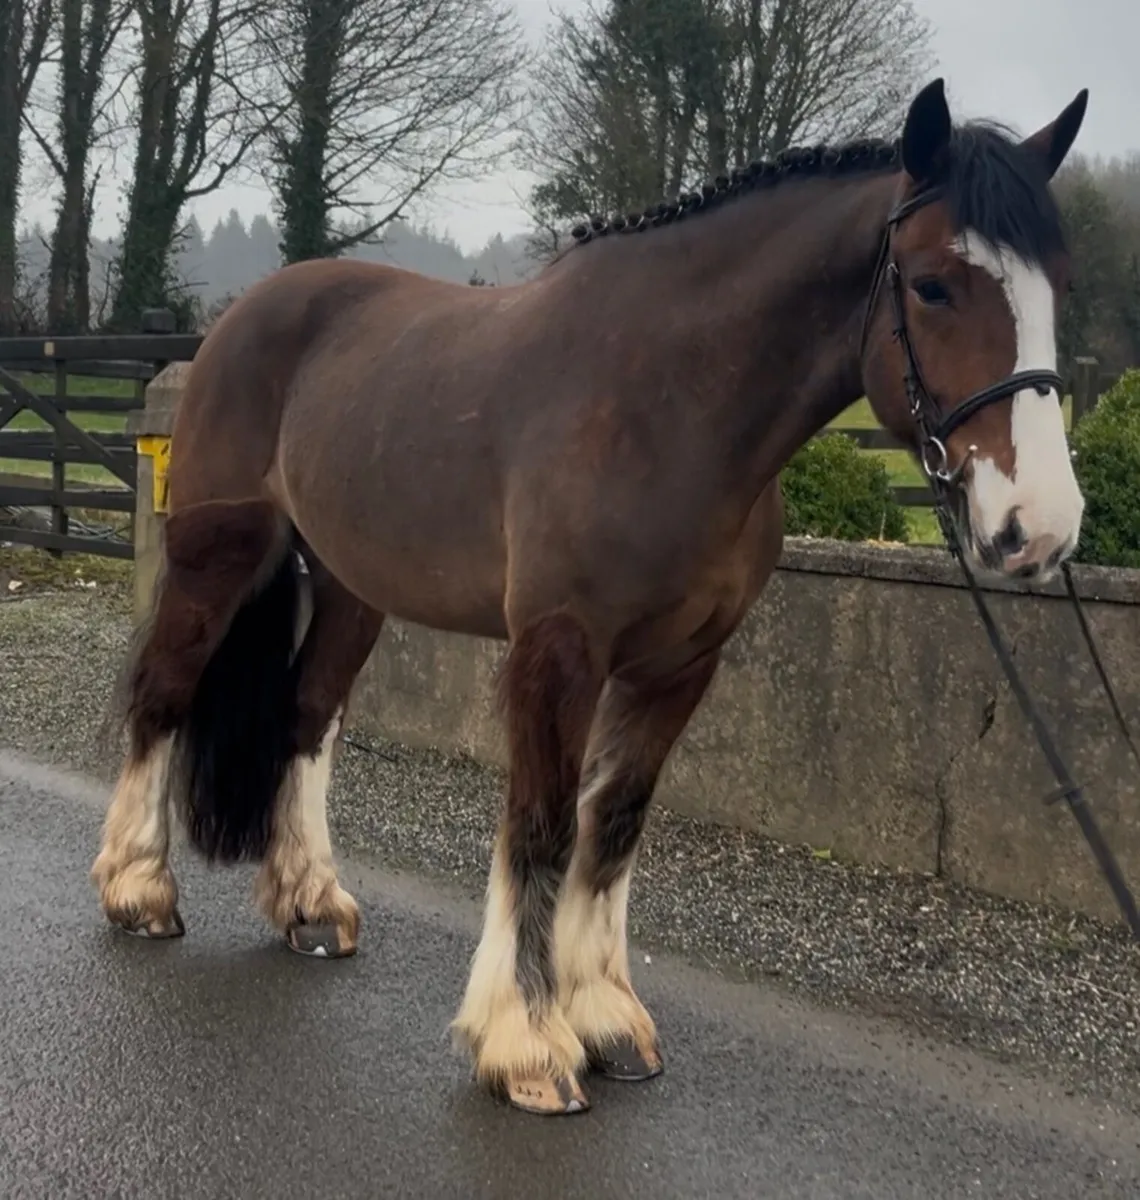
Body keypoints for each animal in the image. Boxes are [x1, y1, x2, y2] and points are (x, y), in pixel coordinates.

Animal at [92, 77, 1089, 1116]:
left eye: (1060, 283)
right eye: (933, 284)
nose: (1041, 525)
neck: (667, 405)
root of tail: (244, 317)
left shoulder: (680, 665)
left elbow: (611, 823)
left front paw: (606, 1017)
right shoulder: (558, 651)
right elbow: (539, 824)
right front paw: (527, 1042)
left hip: (350, 588)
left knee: (307, 718)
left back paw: (310, 902)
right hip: (218, 557)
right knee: (162, 696)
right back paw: (139, 889)